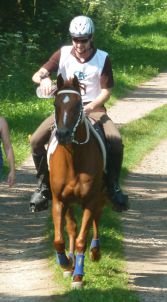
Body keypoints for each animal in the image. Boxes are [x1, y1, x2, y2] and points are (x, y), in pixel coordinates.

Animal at [49, 73, 106, 288]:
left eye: (78, 104)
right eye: (56, 104)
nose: (63, 134)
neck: (73, 160)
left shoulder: (90, 200)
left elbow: (83, 238)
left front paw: (78, 277)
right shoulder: (59, 201)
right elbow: (59, 239)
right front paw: (65, 263)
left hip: (100, 196)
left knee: (96, 218)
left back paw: (95, 252)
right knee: (72, 228)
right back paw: (70, 262)